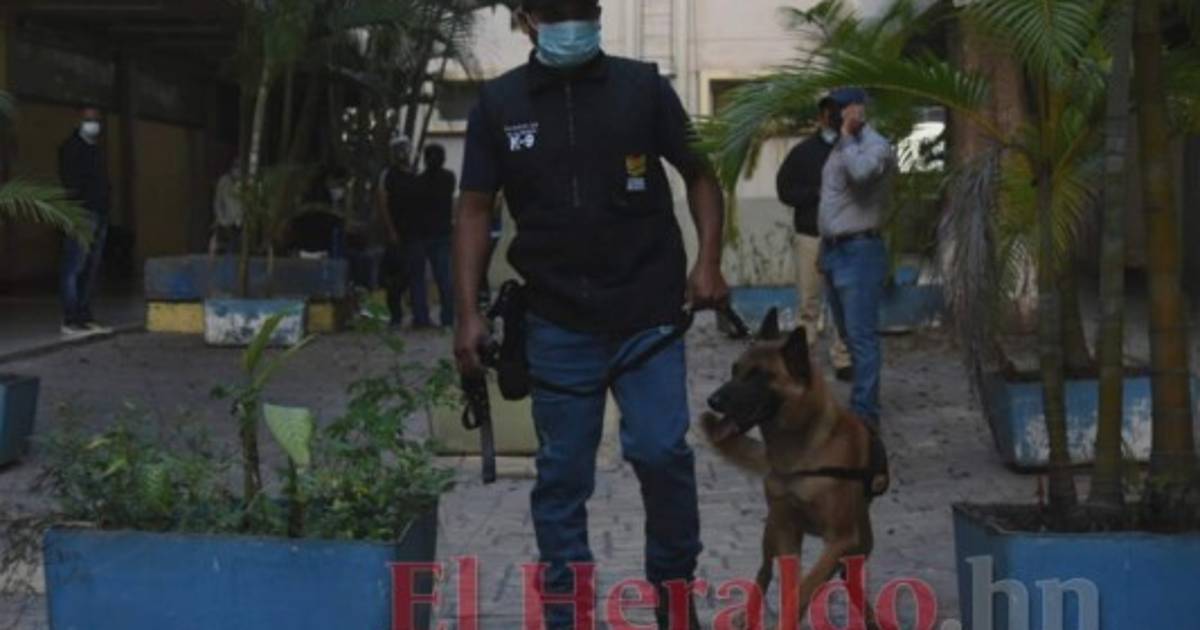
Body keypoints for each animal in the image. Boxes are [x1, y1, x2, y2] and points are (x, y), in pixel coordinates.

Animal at [700, 309, 889, 628]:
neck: (802, 457)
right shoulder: (786, 531)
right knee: (764, 571)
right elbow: (793, 584)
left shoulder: (841, 539)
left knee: (849, 577)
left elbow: (806, 585)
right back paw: (746, 615)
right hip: (771, 531)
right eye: (734, 371)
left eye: (758, 376)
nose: (712, 400)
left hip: (861, 543)